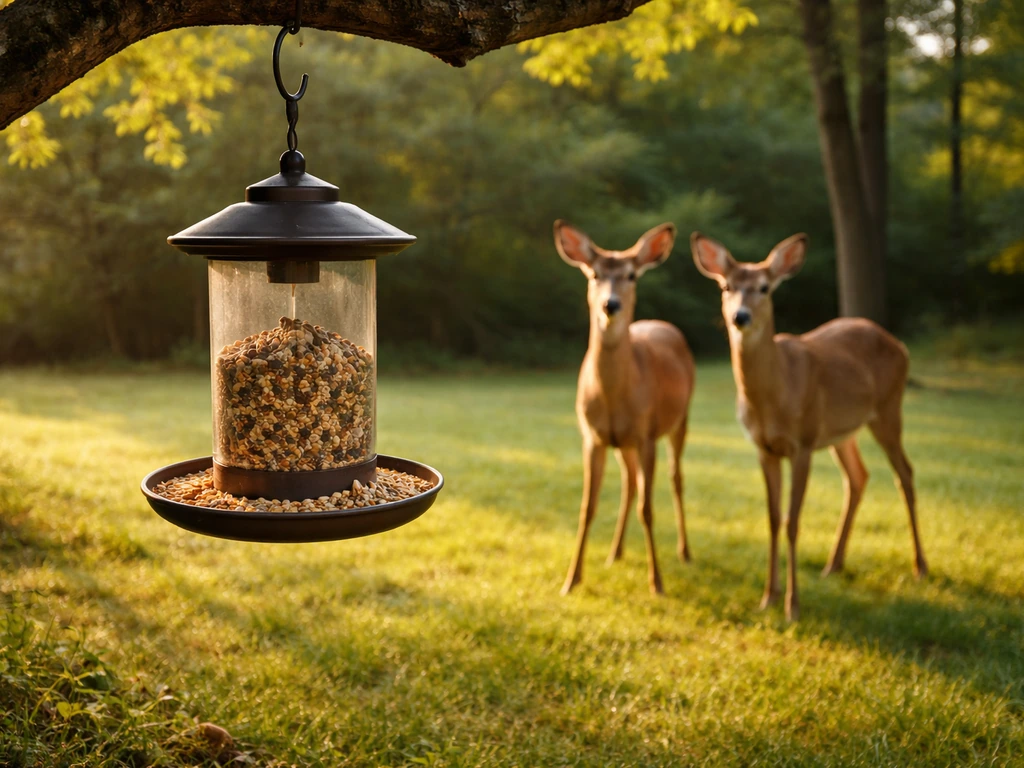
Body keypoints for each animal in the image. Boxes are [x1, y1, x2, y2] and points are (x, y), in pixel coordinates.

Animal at [554, 220, 696, 596]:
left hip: (679, 420)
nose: (611, 304)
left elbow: (648, 509)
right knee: (629, 484)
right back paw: (615, 553)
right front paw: (571, 580)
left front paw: (657, 583)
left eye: (631, 275)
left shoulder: (646, 434)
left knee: (676, 480)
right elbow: (587, 507)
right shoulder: (593, 437)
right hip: (624, 443)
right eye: (594, 274)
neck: (614, 395)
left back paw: (685, 552)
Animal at [690, 232, 928, 620]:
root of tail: (899, 344)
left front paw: (793, 606)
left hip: (888, 409)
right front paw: (767, 598)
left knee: (904, 473)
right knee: (858, 476)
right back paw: (834, 564)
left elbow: (793, 521)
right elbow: (773, 518)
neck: (774, 395)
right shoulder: (764, 448)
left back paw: (920, 566)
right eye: (726, 286)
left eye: (764, 287)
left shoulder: (801, 444)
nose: (740, 316)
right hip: (840, 432)